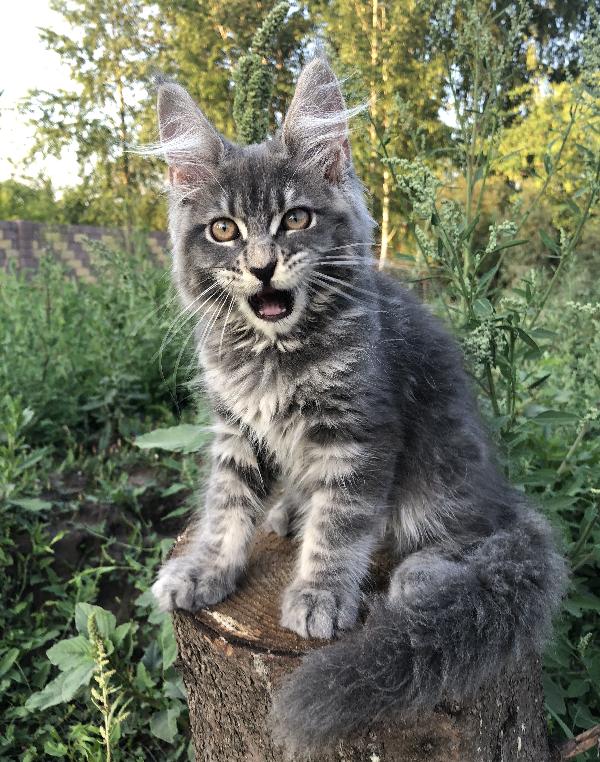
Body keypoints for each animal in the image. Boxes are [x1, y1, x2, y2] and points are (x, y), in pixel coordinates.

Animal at [149, 58, 568, 748]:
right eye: (223, 230)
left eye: (295, 219)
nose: (262, 267)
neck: (275, 354)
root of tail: (501, 491)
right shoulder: (237, 429)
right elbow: (226, 506)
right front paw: (206, 568)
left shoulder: (357, 432)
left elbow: (340, 523)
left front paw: (319, 595)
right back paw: (287, 511)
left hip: (439, 471)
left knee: (470, 534)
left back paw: (423, 573)